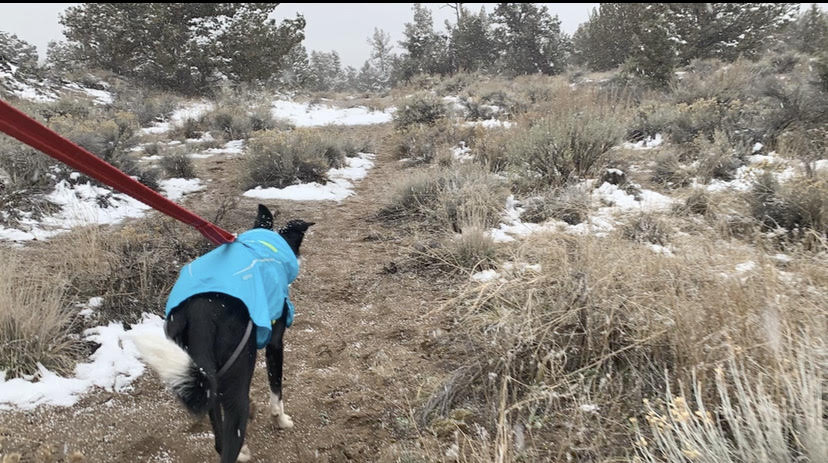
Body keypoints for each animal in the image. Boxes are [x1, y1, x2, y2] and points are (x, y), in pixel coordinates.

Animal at [133, 206, 314, 463]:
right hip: (238, 379)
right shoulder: (275, 345)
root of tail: (198, 313)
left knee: (218, 438)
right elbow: (276, 391)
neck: (264, 245)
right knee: (227, 444)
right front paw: (280, 420)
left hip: (205, 371)